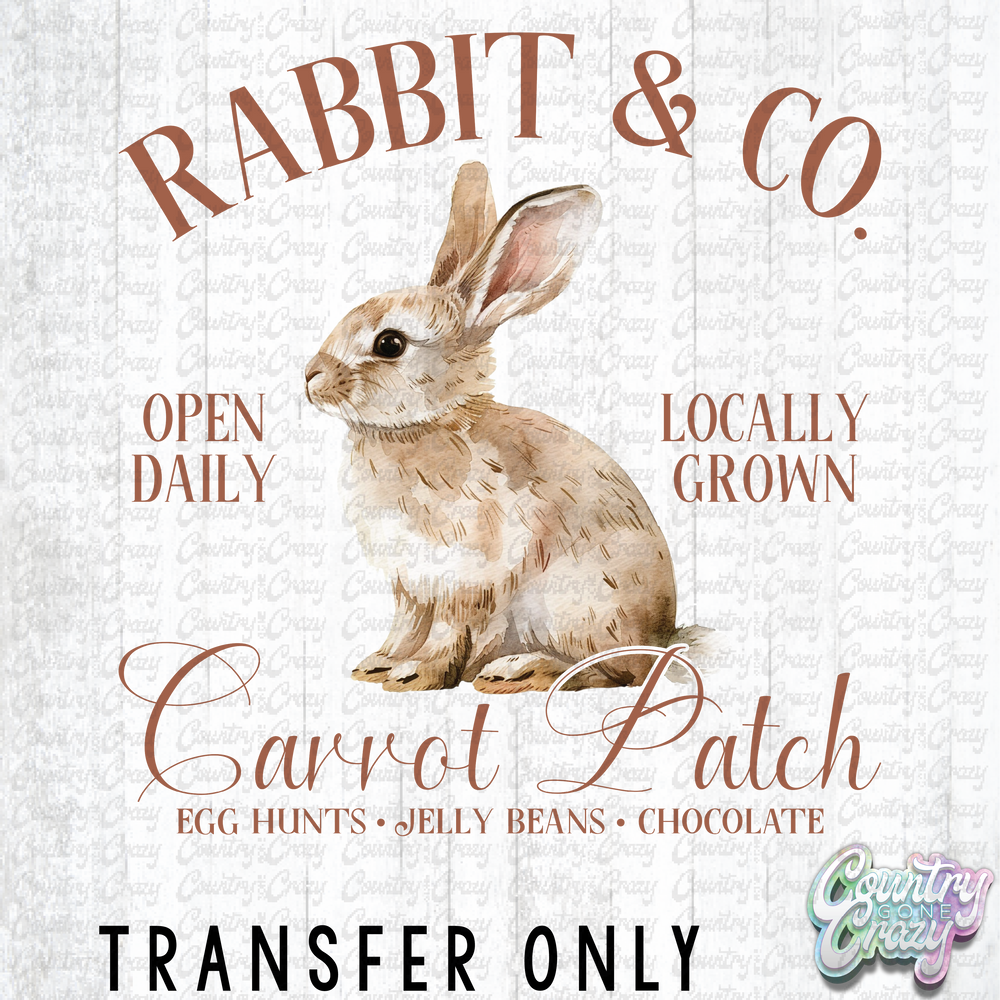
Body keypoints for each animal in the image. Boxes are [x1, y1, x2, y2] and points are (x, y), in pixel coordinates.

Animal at [305, 161, 731, 692]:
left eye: (390, 344)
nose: (310, 378)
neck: (420, 427)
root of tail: (663, 637)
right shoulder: (411, 585)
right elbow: (406, 625)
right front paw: (377, 664)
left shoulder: (465, 576)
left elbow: (445, 631)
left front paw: (415, 675)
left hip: (573, 606)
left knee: (615, 671)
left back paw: (519, 671)